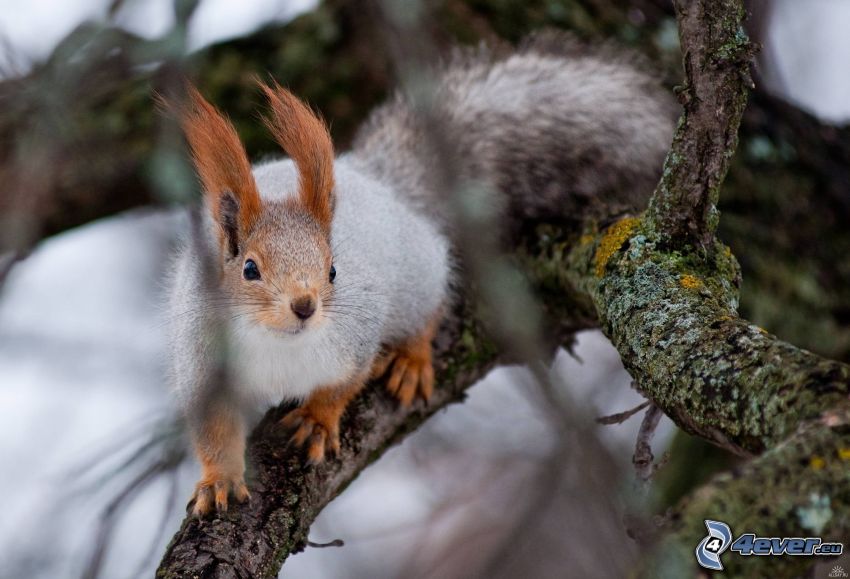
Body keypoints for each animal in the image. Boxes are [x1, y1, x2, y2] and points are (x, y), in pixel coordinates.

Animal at [164, 31, 668, 516]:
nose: (305, 307)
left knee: (429, 308)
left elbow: (341, 385)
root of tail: (378, 181)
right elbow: (214, 431)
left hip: (417, 279)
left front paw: (318, 420)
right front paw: (219, 480)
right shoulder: (204, 363)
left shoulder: (355, 338)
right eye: (249, 268)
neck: (276, 343)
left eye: (333, 269)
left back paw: (412, 359)